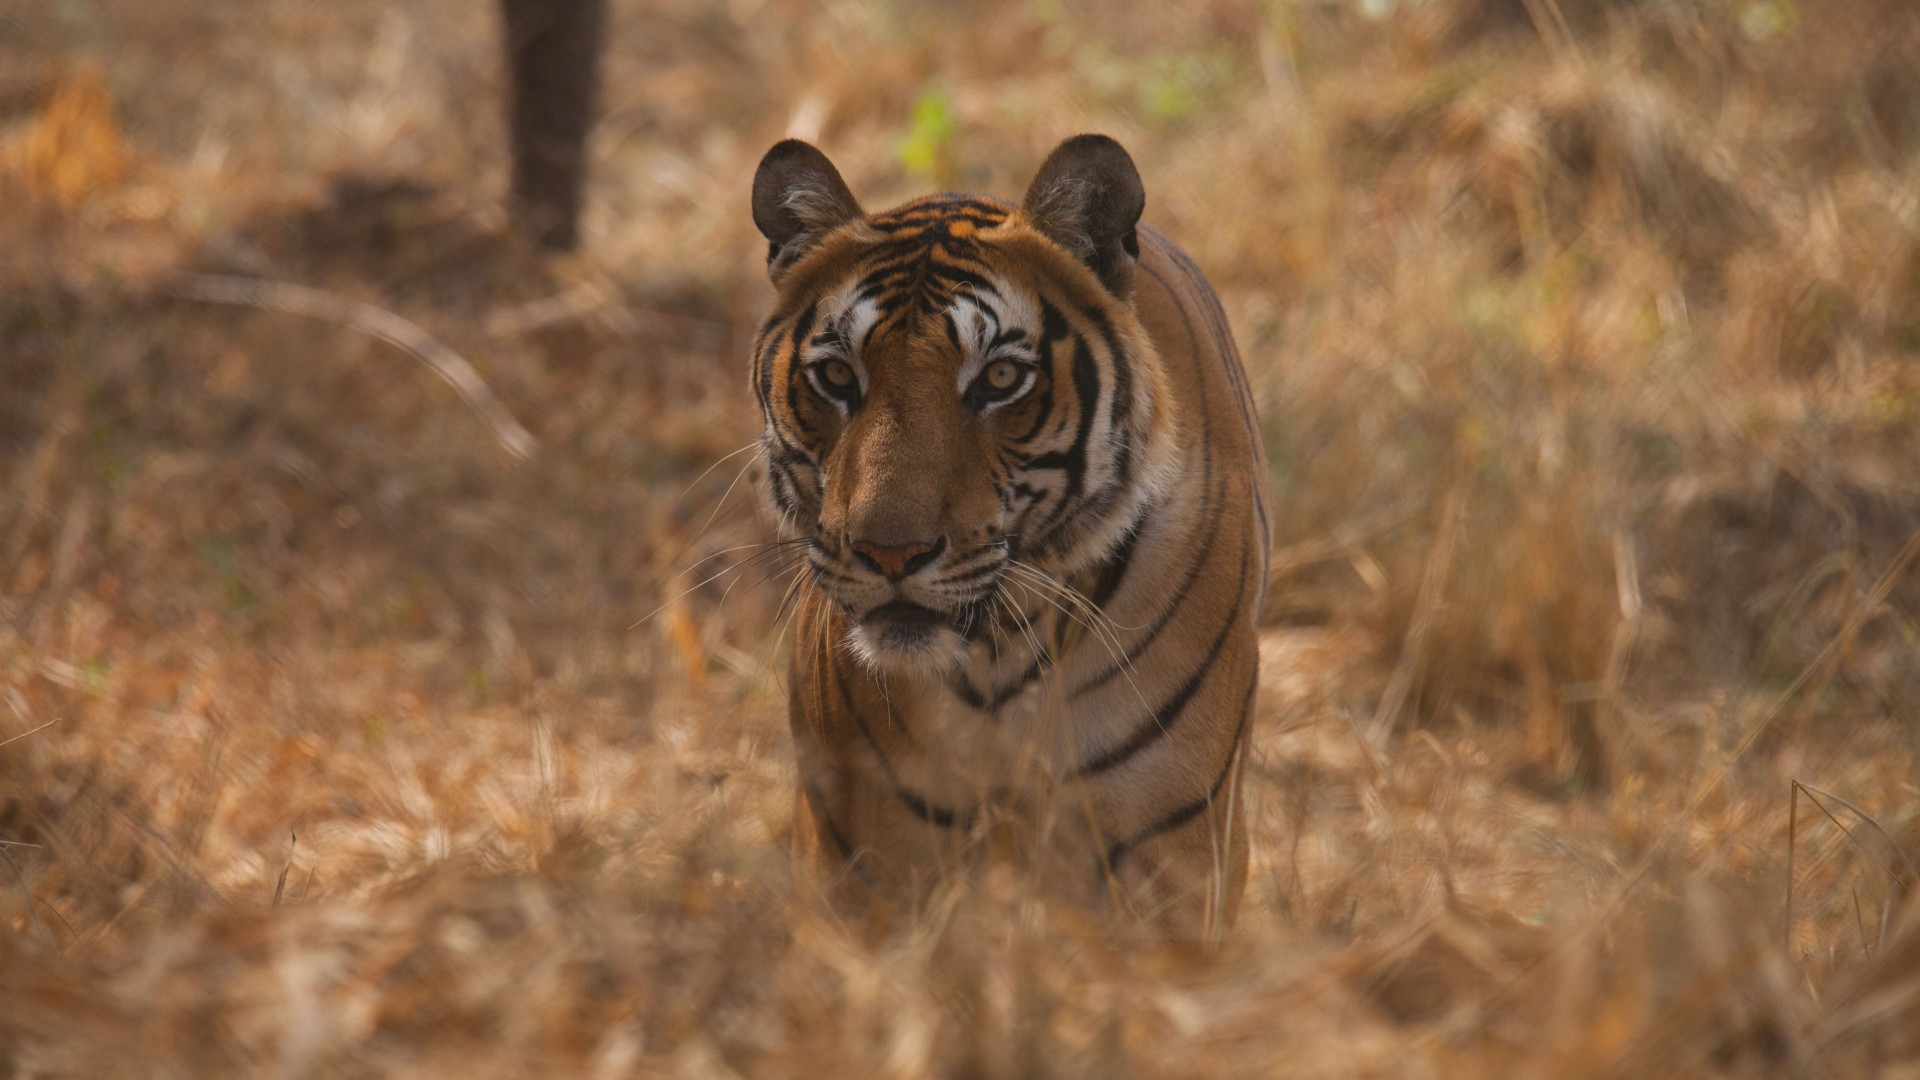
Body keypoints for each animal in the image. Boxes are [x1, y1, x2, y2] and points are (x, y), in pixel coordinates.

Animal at [748, 134, 1274, 930]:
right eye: (837, 377)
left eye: (999, 380)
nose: (890, 553)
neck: (997, 656)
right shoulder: (863, 854)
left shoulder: (1172, 842)